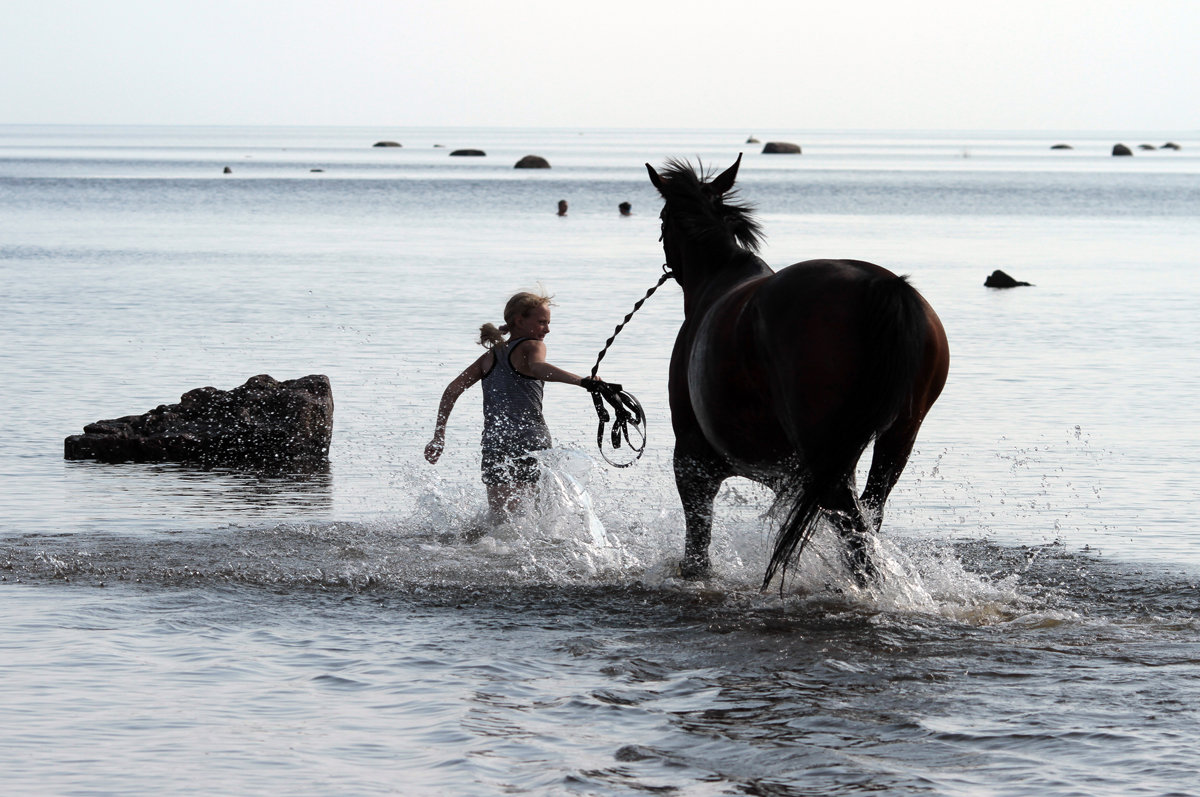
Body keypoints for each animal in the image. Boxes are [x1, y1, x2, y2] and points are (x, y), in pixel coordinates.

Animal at [648, 157, 945, 590]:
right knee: (866, 515)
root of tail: (881, 285)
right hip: (896, 438)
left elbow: (697, 544)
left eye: (663, 217)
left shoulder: (692, 460)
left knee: (852, 524)